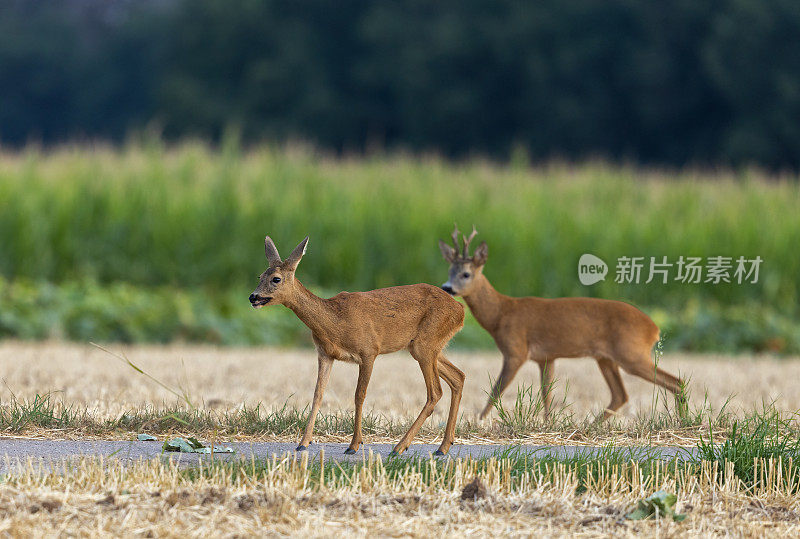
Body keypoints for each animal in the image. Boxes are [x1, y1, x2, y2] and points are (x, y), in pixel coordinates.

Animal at [247, 236, 466, 456]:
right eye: (260, 275)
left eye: (276, 279)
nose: (253, 297)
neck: (335, 321)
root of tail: (460, 310)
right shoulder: (325, 354)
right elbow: (318, 394)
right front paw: (303, 442)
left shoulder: (369, 351)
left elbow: (359, 395)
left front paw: (354, 445)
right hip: (425, 347)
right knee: (458, 376)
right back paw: (443, 446)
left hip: (426, 344)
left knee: (435, 392)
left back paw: (400, 447)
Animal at [438, 226, 688, 420]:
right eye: (450, 270)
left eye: (466, 274)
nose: (447, 287)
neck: (501, 313)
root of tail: (654, 328)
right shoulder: (546, 357)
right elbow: (546, 394)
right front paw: (548, 422)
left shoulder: (516, 350)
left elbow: (496, 391)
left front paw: (479, 421)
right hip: (606, 358)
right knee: (621, 394)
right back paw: (591, 425)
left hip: (631, 353)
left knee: (676, 381)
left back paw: (682, 421)